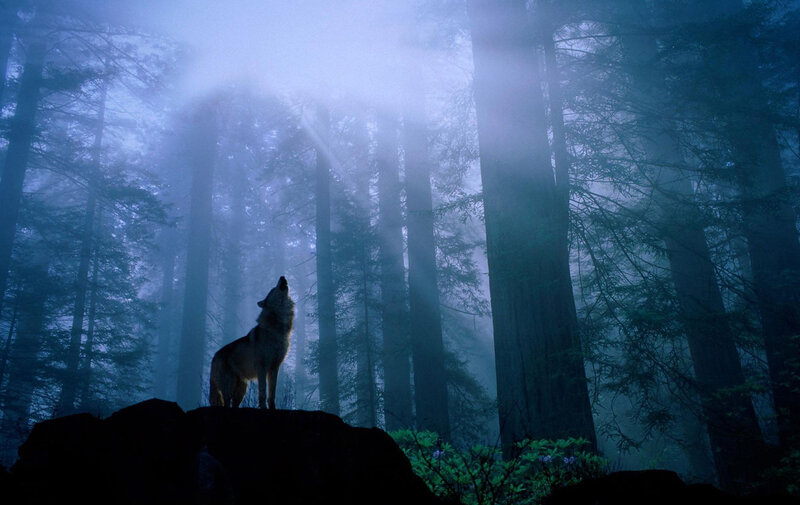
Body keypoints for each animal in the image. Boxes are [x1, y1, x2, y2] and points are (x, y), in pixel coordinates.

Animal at [209, 276, 294, 409]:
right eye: (272, 289)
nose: (282, 276)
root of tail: (214, 356)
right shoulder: (262, 368)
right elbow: (263, 393)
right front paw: (263, 408)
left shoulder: (274, 368)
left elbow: (272, 394)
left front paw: (273, 408)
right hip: (229, 388)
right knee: (226, 402)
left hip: (241, 390)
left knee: (234, 405)